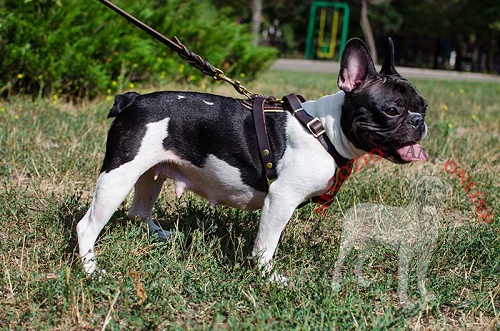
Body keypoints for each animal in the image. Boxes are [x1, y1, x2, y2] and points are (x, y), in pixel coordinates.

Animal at [76, 37, 428, 278]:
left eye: (423, 106)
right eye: (391, 110)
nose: (419, 121)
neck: (323, 130)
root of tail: (133, 100)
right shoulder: (281, 199)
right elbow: (266, 245)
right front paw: (267, 276)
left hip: (151, 172)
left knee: (138, 210)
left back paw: (160, 234)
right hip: (119, 174)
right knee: (87, 226)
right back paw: (91, 269)